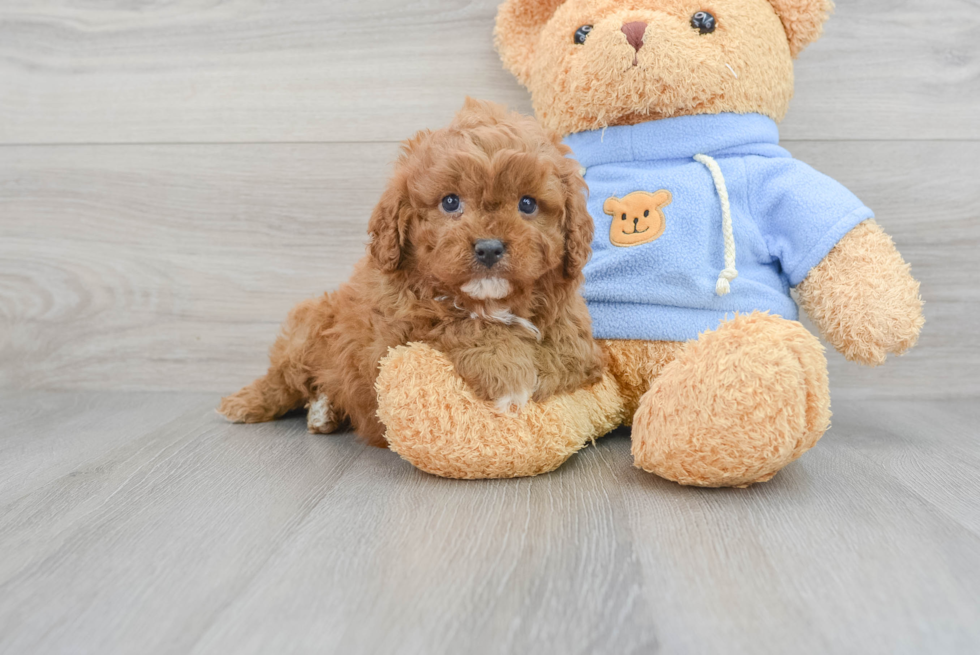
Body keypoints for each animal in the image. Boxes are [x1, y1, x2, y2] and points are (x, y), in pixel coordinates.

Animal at [220, 98, 604, 446]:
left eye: (527, 204)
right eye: (450, 202)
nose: (489, 247)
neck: (491, 301)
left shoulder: (572, 326)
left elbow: (571, 353)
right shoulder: (393, 335)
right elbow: (460, 324)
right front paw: (507, 371)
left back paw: (323, 411)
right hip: (310, 324)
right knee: (282, 378)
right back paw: (247, 403)